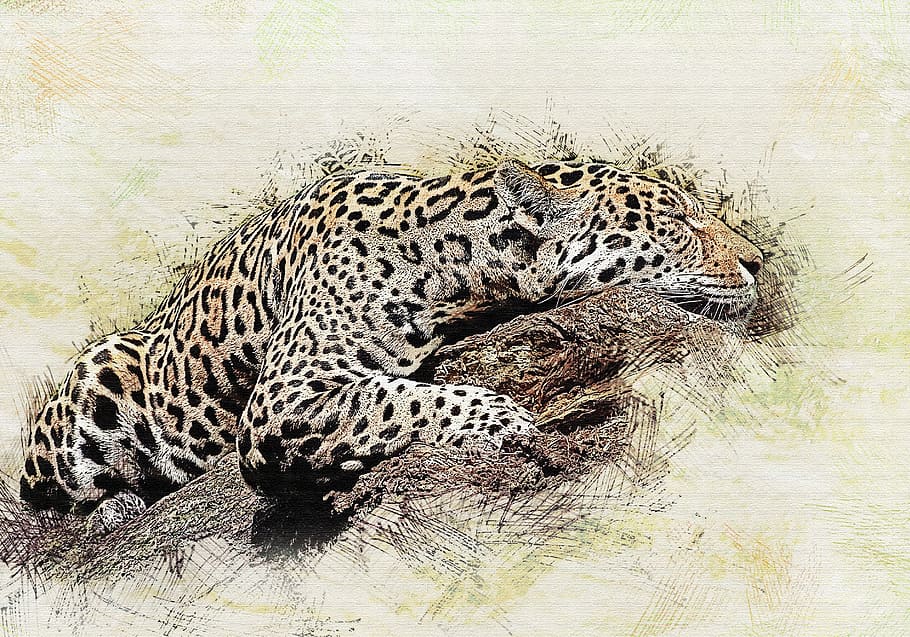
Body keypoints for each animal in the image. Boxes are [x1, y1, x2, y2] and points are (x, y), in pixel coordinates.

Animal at [19, 158, 762, 533]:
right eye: (678, 221)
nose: (759, 260)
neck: (454, 269)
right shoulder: (285, 395)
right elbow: (394, 397)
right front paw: (509, 420)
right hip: (97, 377)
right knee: (41, 498)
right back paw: (115, 505)